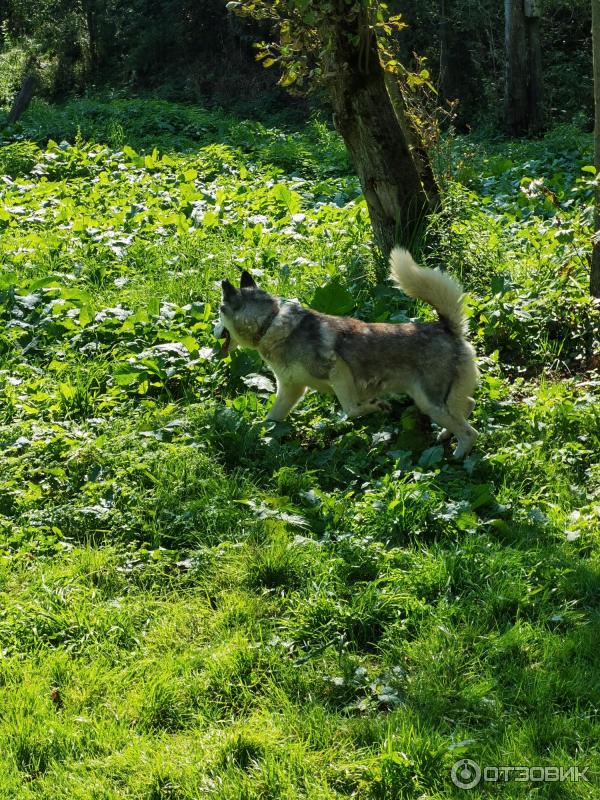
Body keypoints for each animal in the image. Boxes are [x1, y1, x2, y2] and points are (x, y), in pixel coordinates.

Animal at [213, 248, 480, 456]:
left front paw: (376, 406)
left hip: (430, 402)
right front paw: (258, 435)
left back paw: (458, 456)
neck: (270, 322)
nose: (212, 331)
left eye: (217, 313)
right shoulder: (291, 389)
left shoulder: (337, 370)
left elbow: (351, 409)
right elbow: (270, 420)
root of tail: (446, 327)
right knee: (468, 406)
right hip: (438, 401)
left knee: (470, 432)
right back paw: (445, 434)